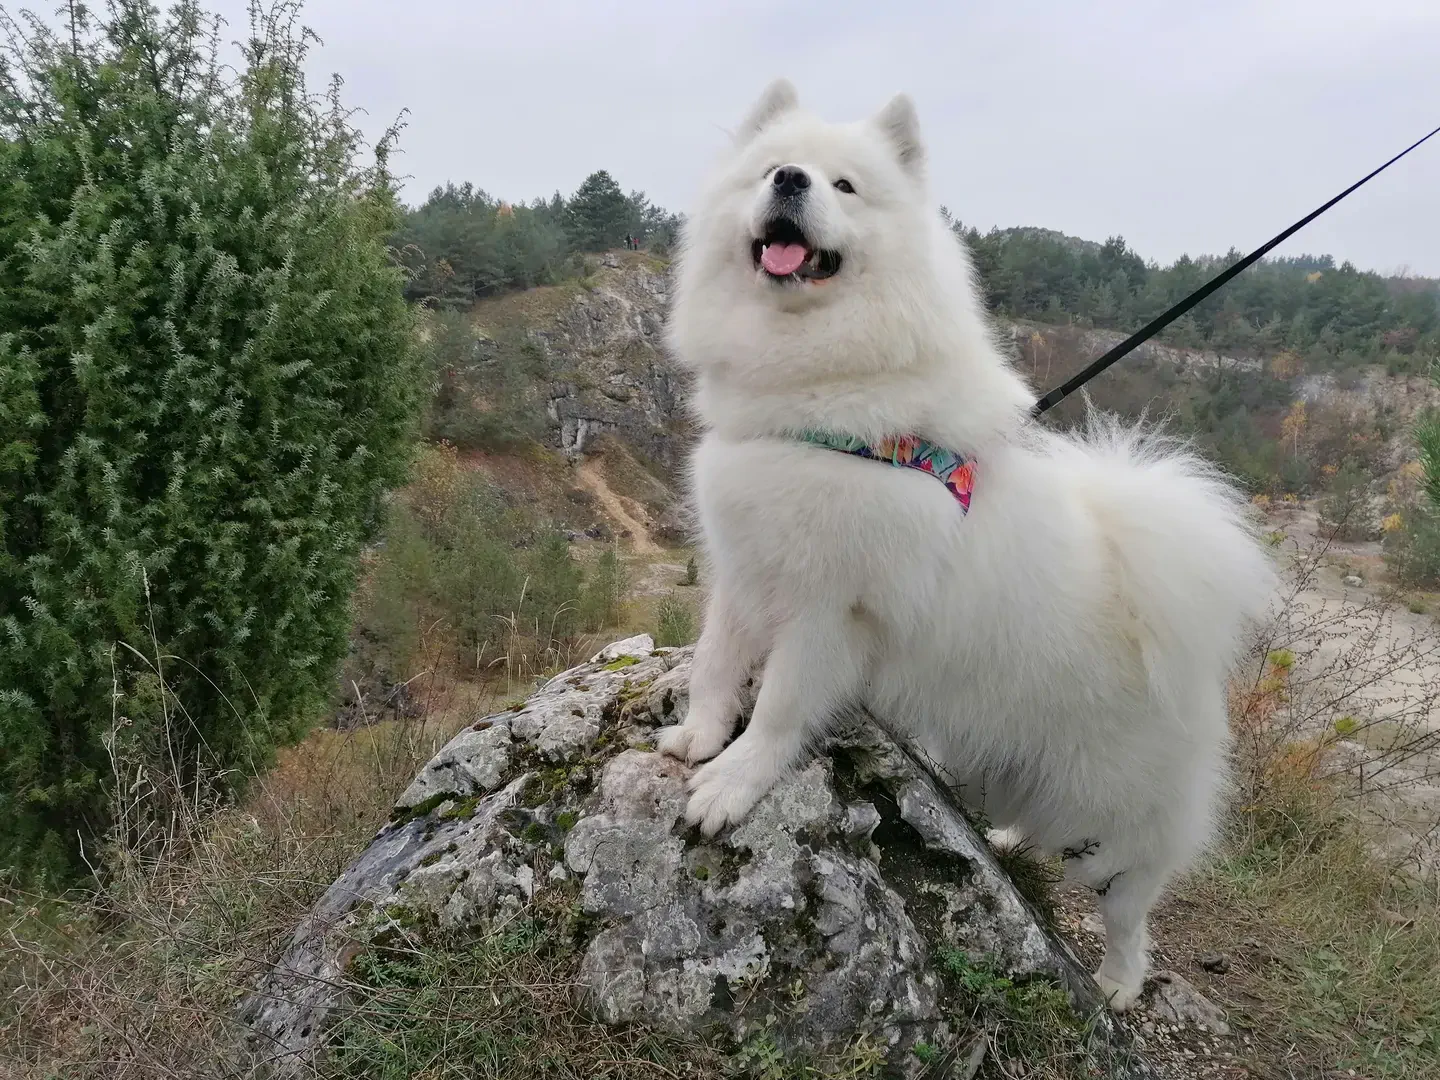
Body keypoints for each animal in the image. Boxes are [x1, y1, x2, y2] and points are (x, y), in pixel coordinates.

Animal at [657, 79, 1275, 1011]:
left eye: (844, 186)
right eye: (773, 169)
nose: (792, 181)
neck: (823, 395)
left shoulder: (831, 610)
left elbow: (780, 710)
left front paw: (732, 783)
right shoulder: (745, 565)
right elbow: (715, 662)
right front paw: (698, 735)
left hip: (1118, 825)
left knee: (1132, 906)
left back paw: (1118, 981)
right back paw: (1010, 837)